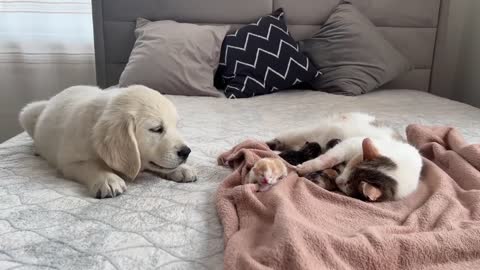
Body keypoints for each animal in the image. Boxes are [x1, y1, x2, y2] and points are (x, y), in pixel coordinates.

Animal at [17, 84, 196, 198]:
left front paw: (182, 169)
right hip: (27, 113)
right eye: (156, 129)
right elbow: (90, 165)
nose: (186, 152)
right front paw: (107, 179)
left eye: (176, 125)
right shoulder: (68, 163)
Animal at [268, 110, 422, 201]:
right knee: (281, 140)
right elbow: (327, 160)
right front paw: (306, 167)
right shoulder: (348, 145)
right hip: (306, 132)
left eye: (348, 184)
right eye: (350, 168)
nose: (339, 181)